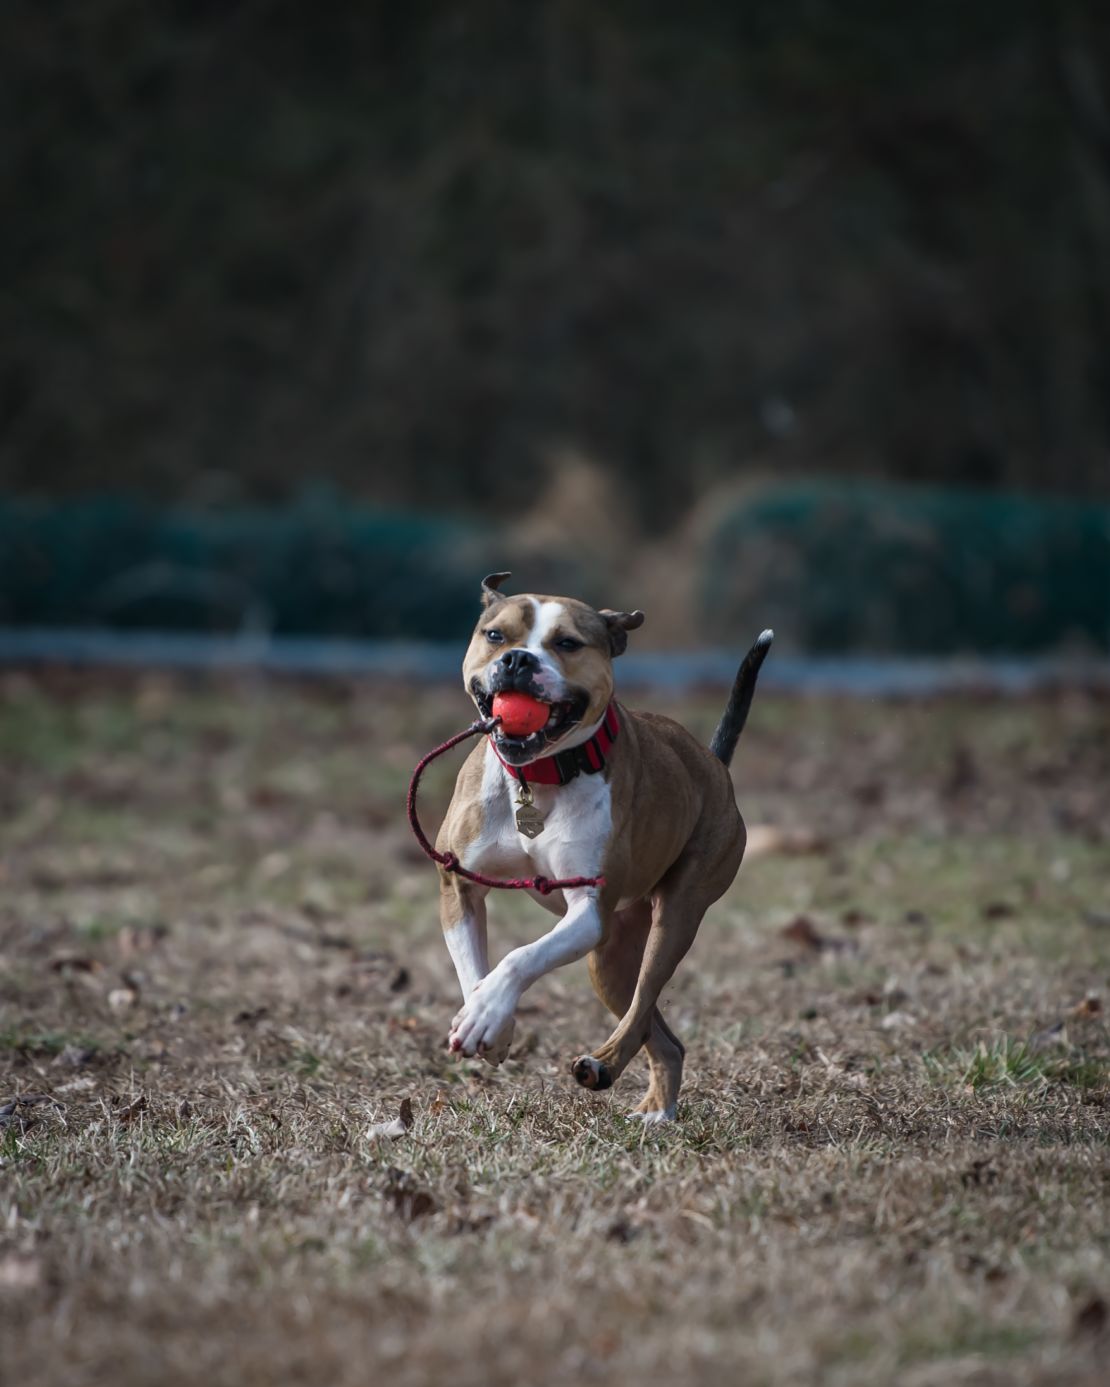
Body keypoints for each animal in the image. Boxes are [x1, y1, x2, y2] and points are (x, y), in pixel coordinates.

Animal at [435, 568, 771, 1120]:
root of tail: (713, 763)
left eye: (567, 643)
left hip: (674, 917)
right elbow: (472, 966)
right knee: (664, 1037)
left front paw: (487, 1012)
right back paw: (656, 1109)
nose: (518, 660)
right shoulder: (457, 885)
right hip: (608, 960)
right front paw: (488, 1021)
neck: (540, 775)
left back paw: (604, 1064)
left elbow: (520, 956)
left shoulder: (587, 910)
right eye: (495, 635)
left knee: (642, 1005)